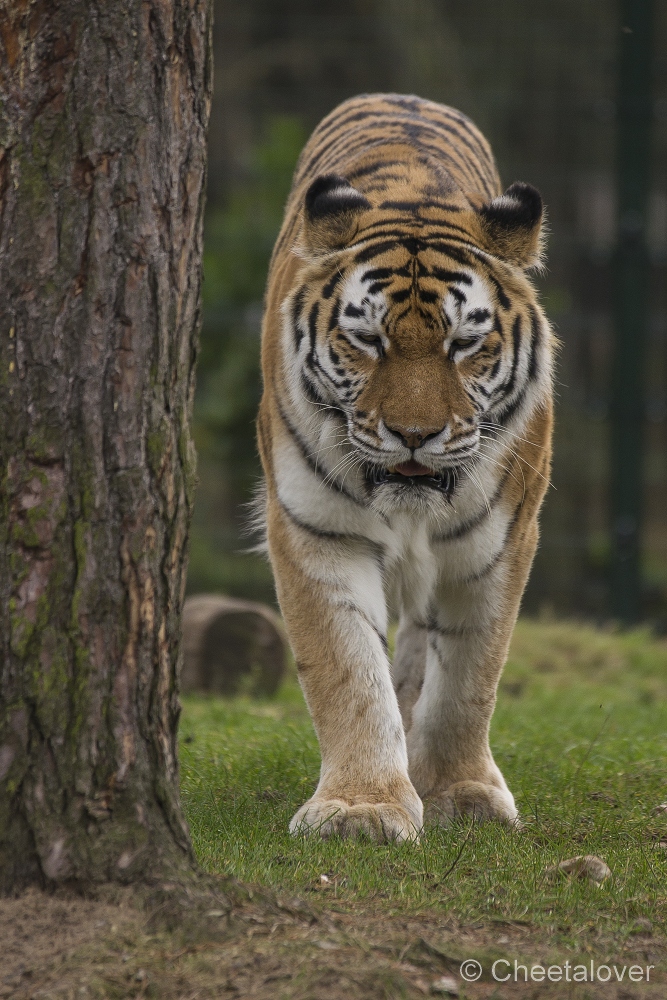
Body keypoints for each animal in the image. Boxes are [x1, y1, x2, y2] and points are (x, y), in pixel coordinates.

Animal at [258, 95, 556, 844]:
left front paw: (458, 792)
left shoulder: (499, 541)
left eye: (465, 344)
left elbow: (469, 679)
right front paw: (360, 808)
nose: (414, 436)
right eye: (367, 340)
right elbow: (346, 673)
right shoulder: (318, 533)